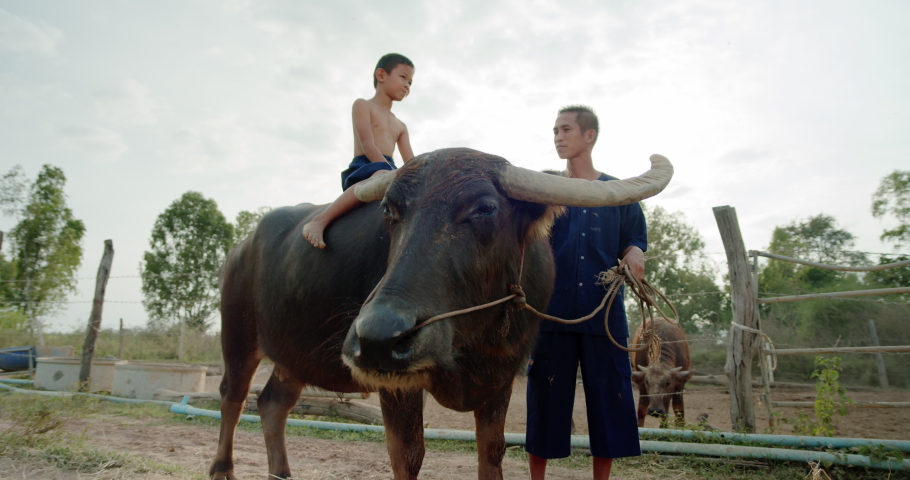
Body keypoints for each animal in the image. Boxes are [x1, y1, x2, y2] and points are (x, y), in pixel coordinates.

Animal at [210, 147, 672, 480]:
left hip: (293, 356)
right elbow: (408, 455)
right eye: (390, 211)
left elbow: (492, 451)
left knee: (272, 403)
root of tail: (240, 247)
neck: (473, 338)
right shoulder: (396, 385)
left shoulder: (502, 376)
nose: (379, 337)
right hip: (238, 336)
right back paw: (222, 470)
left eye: (485, 208)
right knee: (233, 398)